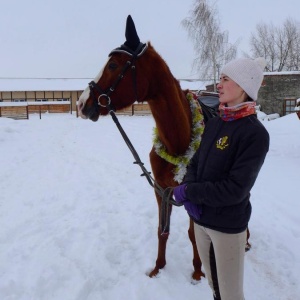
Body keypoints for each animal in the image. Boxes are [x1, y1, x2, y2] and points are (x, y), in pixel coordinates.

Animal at [78, 15, 251, 280]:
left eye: (113, 65)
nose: (82, 103)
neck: (178, 140)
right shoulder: (162, 190)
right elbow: (162, 230)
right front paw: (158, 267)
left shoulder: (191, 192)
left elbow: (193, 234)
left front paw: (197, 271)